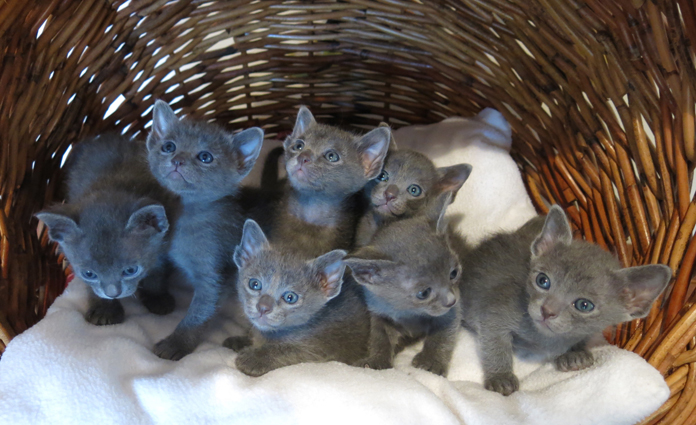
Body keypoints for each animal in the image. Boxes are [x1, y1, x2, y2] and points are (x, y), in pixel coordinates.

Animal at [35, 133, 178, 326]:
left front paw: (157, 297)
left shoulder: (164, 245)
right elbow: (91, 287)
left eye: (131, 270)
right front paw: (104, 309)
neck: (112, 185)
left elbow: (157, 273)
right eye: (89, 273)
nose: (112, 293)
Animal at [146, 100, 264, 360]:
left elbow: (199, 313)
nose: (177, 160)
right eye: (169, 146)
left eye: (205, 157)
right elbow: (156, 268)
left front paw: (176, 343)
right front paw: (156, 297)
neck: (187, 213)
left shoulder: (215, 276)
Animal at [223, 219, 370, 376]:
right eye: (254, 284)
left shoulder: (321, 349)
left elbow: (289, 350)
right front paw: (240, 340)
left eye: (290, 297)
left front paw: (253, 358)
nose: (263, 307)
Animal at [344, 192, 463, 376]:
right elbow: (380, 337)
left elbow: (443, 334)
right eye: (423, 293)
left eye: (454, 273)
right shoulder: (378, 310)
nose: (451, 300)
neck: (410, 312)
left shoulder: (453, 309)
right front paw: (376, 360)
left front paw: (432, 361)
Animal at [458, 205, 672, 396]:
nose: (547, 310)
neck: (545, 338)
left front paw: (574, 354)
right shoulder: (494, 310)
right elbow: (495, 342)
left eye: (584, 305)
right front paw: (500, 377)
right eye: (543, 281)